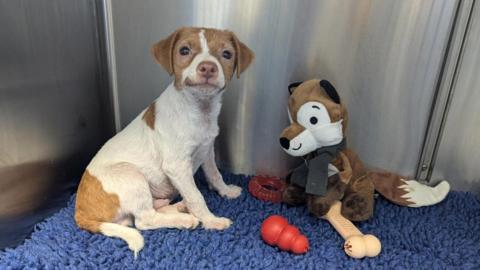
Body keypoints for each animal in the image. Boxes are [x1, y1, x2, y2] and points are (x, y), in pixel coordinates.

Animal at [74, 26, 255, 255]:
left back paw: (178, 207)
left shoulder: (207, 150)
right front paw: (211, 221)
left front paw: (227, 191)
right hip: (131, 176)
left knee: (150, 211)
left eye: (227, 54)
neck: (199, 110)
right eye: (184, 50)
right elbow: (196, 196)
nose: (207, 68)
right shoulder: (177, 166)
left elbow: (215, 175)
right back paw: (184, 220)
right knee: (144, 220)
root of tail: (80, 211)